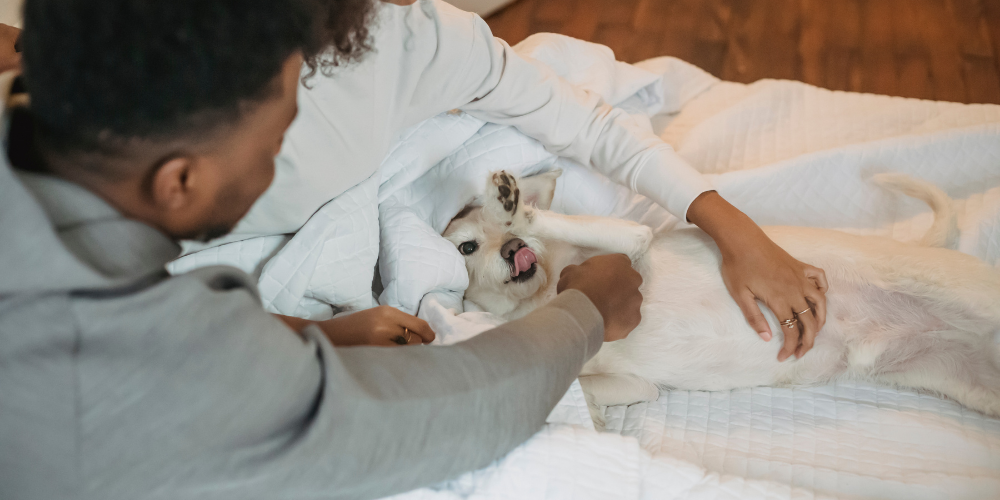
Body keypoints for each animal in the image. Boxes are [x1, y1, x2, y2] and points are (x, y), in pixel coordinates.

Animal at [444, 170, 1000, 428]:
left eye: (501, 235)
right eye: (467, 246)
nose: (514, 249)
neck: (544, 296)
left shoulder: (633, 242)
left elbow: (575, 224)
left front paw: (517, 206)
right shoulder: (638, 385)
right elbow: (583, 384)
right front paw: (594, 416)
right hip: (979, 390)